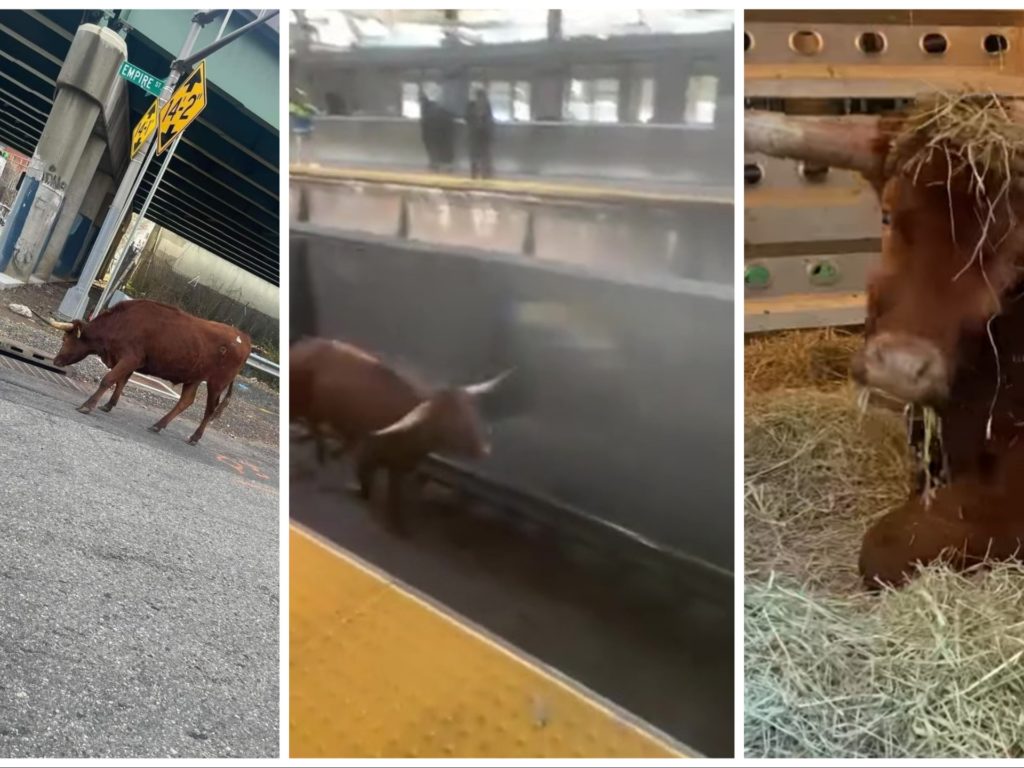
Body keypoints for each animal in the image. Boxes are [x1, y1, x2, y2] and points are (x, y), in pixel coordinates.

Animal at [48, 301, 252, 444]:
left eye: (65, 339)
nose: (55, 361)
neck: (121, 323)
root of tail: (243, 338)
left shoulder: (130, 358)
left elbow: (108, 380)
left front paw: (87, 405)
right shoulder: (130, 362)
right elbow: (121, 382)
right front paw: (108, 404)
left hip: (217, 382)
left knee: (210, 409)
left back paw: (194, 437)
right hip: (194, 377)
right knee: (186, 401)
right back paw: (158, 425)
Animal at [290, 339, 509, 532]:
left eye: (470, 413)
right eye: (449, 422)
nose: (483, 449)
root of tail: (302, 345)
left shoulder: (398, 466)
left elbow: (394, 495)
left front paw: (398, 525)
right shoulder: (368, 459)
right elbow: (366, 489)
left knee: (317, 428)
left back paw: (327, 453)